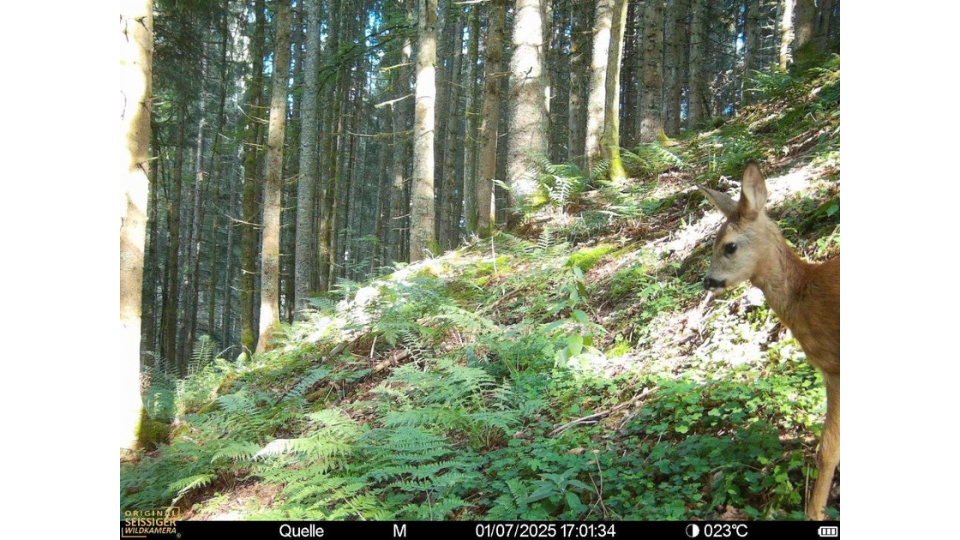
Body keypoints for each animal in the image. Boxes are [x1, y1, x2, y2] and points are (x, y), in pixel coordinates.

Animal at [697, 162, 839, 520]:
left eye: (729, 246)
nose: (708, 281)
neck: (807, 295)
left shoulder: (836, 368)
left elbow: (828, 449)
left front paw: (814, 513)